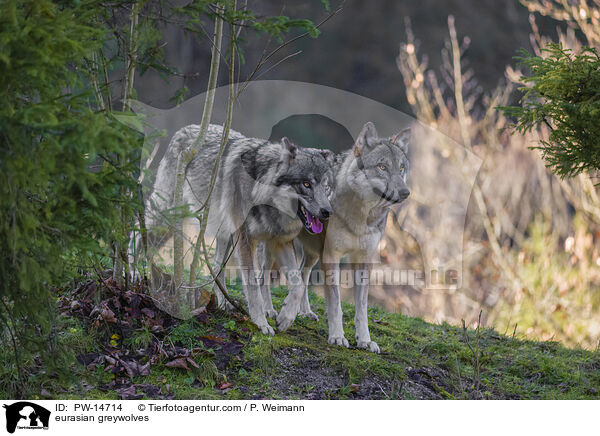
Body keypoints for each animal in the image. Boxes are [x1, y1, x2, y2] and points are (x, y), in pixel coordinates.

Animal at [144, 124, 336, 336]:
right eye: (307, 184)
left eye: (326, 187)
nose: (327, 212)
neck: (262, 190)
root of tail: (184, 129)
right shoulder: (245, 239)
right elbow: (253, 286)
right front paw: (261, 323)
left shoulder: (280, 242)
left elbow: (298, 285)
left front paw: (286, 318)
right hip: (166, 215)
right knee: (137, 230)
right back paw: (134, 272)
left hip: (221, 235)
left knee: (217, 266)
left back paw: (223, 304)